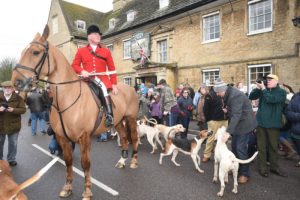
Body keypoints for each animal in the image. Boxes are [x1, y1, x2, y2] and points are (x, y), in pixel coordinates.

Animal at [11, 25, 139, 199]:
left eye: (35, 52)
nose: (15, 81)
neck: (67, 97)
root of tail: (129, 88)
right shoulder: (62, 138)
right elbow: (68, 162)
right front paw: (68, 187)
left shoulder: (84, 137)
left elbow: (85, 164)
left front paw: (87, 191)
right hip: (118, 121)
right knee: (125, 138)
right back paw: (121, 161)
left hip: (131, 119)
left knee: (134, 138)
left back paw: (133, 161)